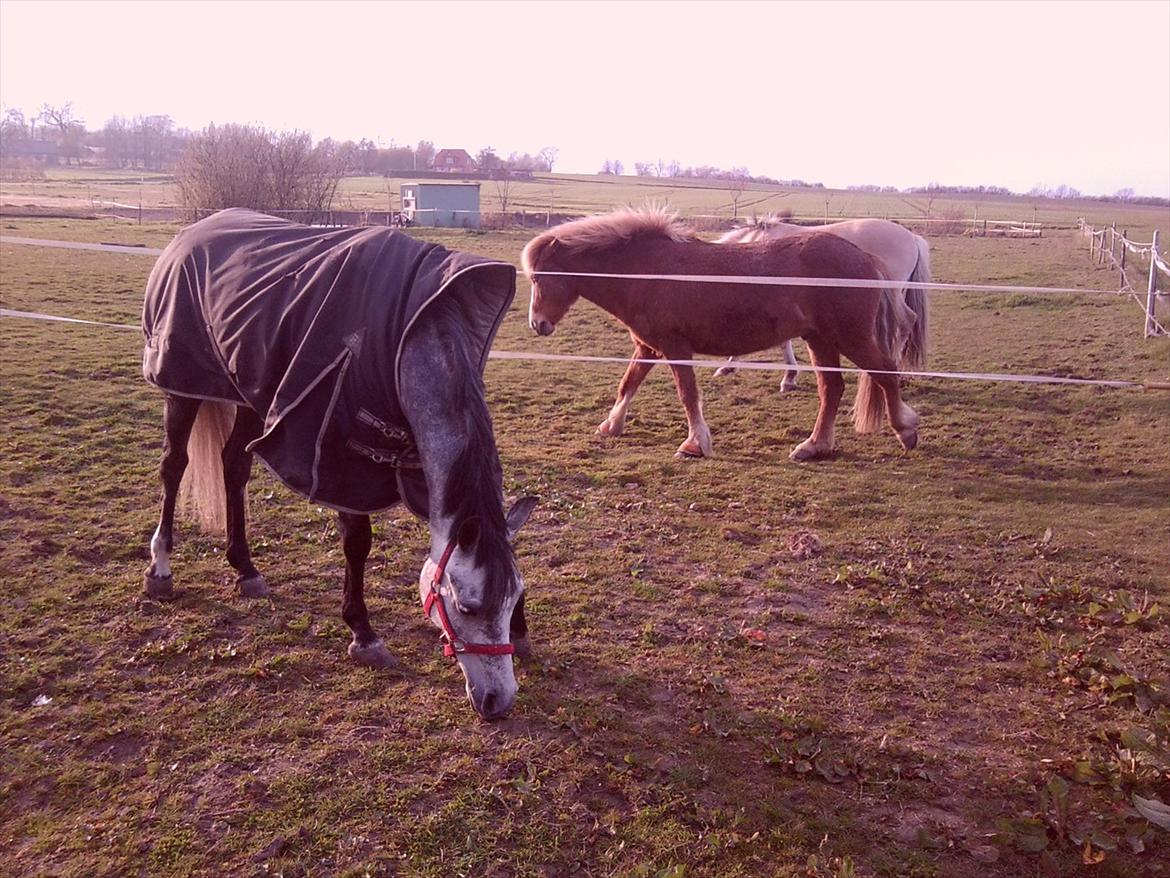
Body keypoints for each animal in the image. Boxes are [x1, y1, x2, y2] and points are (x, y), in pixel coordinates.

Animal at [141, 208, 535, 721]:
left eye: (511, 600)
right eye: (467, 606)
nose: (498, 701)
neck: (410, 344)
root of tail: (189, 234)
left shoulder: (420, 471)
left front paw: (523, 634)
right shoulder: (341, 457)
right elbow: (357, 543)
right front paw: (363, 634)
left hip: (246, 394)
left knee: (233, 466)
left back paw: (245, 568)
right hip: (182, 387)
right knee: (174, 466)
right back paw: (161, 570)